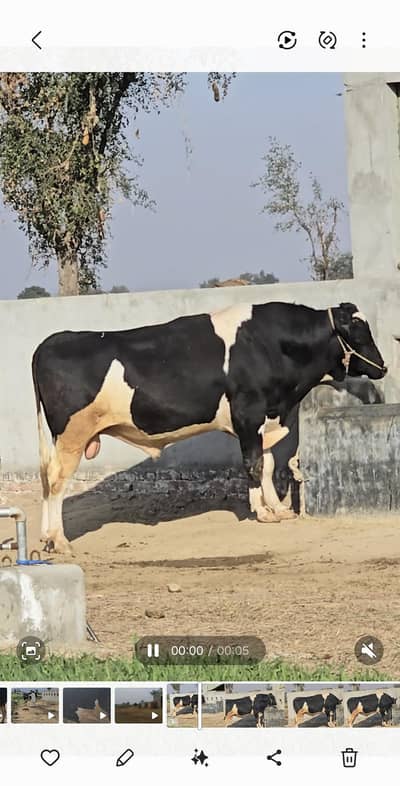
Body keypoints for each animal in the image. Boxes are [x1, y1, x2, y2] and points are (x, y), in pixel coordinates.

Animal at [32, 300, 386, 553]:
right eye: (358, 332)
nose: (382, 367)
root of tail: (49, 343)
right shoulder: (248, 415)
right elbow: (254, 464)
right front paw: (262, 511)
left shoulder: (265, 419)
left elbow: (269, 463)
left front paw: (277, 508)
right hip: (73, 435)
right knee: (57, 480)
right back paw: (60, 540)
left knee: (47, 476)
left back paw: (47, 537)